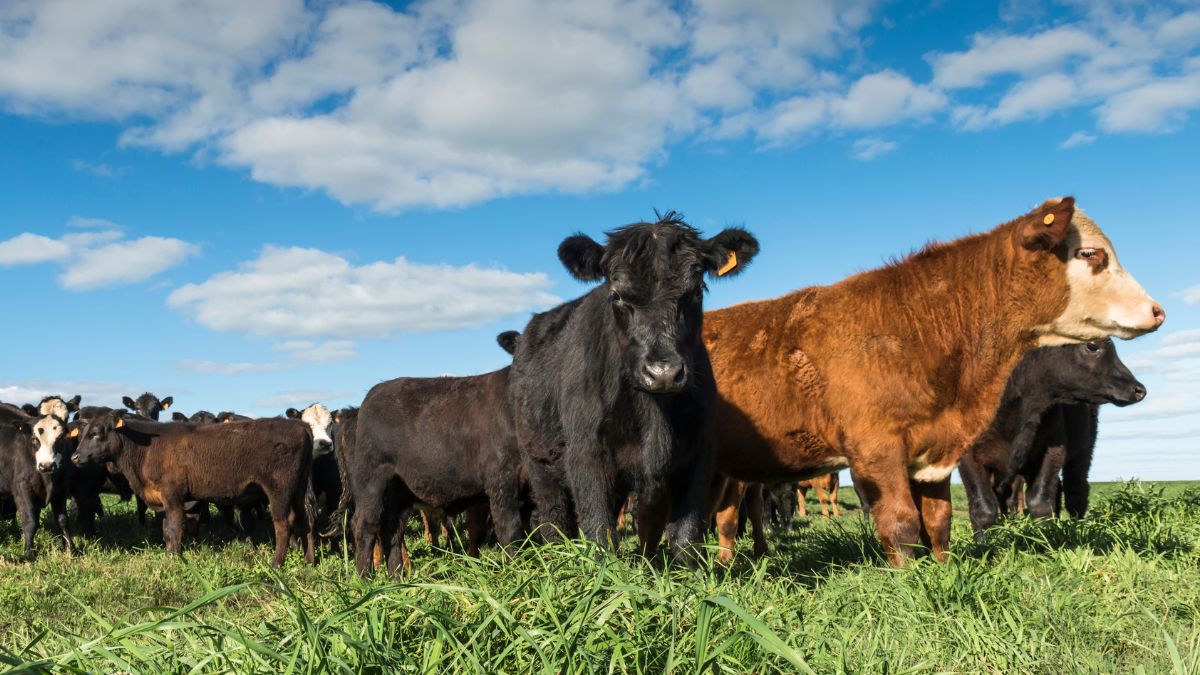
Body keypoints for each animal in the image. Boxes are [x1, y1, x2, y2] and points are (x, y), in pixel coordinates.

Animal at [0, 404, 75, 560]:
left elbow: (63, 520)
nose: (47, 465)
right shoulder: (23, 488)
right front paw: (29, 553)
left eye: (60, 438)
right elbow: (30, 521)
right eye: (35, 439)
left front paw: (70, 548)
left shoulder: (61, 489)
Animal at [71, 411, 316, 566]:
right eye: (81, 434)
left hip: (279, 489)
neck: (146, 449)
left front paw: (177, 560)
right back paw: (309, 561)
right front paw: (169, 556)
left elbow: (175, 529)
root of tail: (301, 425)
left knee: (283, 525)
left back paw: (276, 564)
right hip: (298, 488)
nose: (74, 457)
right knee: (306, 521)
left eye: (96, 433)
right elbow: (166, 532)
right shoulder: (163, 501)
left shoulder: (174, 496)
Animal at [508, 213, 760, 562]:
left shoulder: (699, 453)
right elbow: (598, 530)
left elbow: (686, 535)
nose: (663, 373)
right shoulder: (585, 452)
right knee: (553, 518)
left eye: (696, 291)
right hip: (539, 461)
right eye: (617, 295)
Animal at [959, 339, 1143, 536]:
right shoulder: (966, 455)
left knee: (1076, 489)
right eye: (1092, 346)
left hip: (1083, 451)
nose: (1139, 389)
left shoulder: (1053, 449)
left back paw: (1078, 527)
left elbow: (1039, 503)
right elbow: (983, 509)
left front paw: (1045, 537)